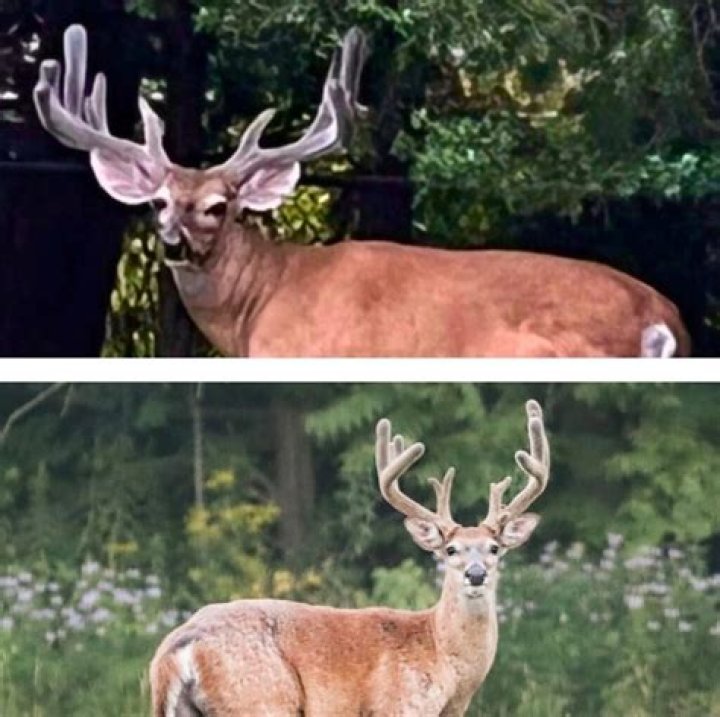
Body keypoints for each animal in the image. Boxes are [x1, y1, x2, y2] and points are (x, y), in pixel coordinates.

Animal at [149, 400, 550, 716]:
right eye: (450, 550)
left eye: (494, 548)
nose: (476, 574)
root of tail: (177, 650)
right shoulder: (397, 706)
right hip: (260, 698)